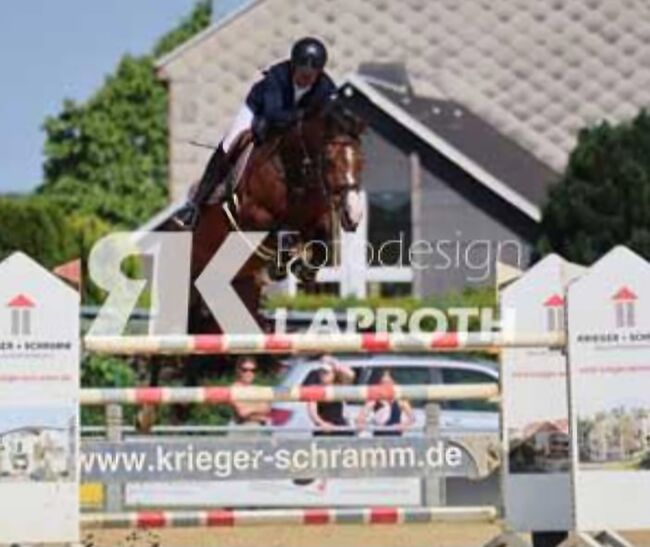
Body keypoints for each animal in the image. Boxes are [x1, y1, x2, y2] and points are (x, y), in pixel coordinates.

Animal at [137, 99, 368, 432]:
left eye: (361, 160)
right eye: (330, 159)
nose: (353, 215)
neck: (294, 172)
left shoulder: (319, 219)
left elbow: (320, 243)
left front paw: (301, 268)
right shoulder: (253, 217)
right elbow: (280, 230)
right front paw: (284, 260)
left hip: (230, 295)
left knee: (202, 341)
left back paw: (184, 404)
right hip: (177, 288)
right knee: (163, 338)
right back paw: (148, 410)